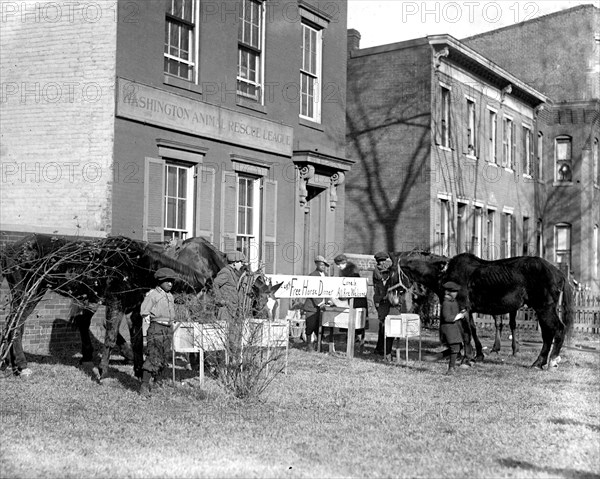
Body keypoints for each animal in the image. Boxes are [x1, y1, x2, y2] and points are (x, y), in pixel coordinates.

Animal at [0, 234, 206, 380]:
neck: (136, 264)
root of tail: (11, 249)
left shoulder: (134, 311)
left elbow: (137, 342)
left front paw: (139, 373)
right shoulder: (115, 304)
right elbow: (111, 337)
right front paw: (102, 372)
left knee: (12, 325)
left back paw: (10, 365)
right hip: (28, 293)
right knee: (16, 325)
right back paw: (22, 366)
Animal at [440, 253, 576, 370]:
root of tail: (558, 273)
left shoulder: (463, 308)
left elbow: (466, 334)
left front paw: (466, 360)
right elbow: (471, 331)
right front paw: (474, 357)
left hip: (545, 309)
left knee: (558, 329)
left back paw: (551, 361)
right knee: (548, 334)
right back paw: (539, 363)